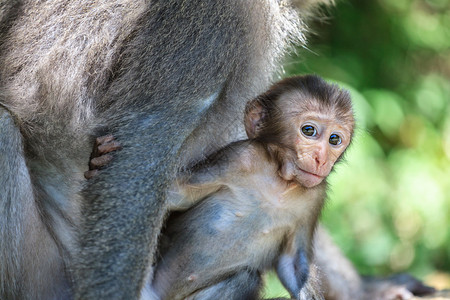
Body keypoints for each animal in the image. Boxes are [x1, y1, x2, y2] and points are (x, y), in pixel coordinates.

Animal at [88, 75, 356, 300]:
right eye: (309, 130)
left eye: (334, 139)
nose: (322, 158)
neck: (279, 181)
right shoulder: (238, 158)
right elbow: (176, 196)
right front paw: (98, 159)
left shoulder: (314, 196)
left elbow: (293, 262)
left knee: (244, 278)